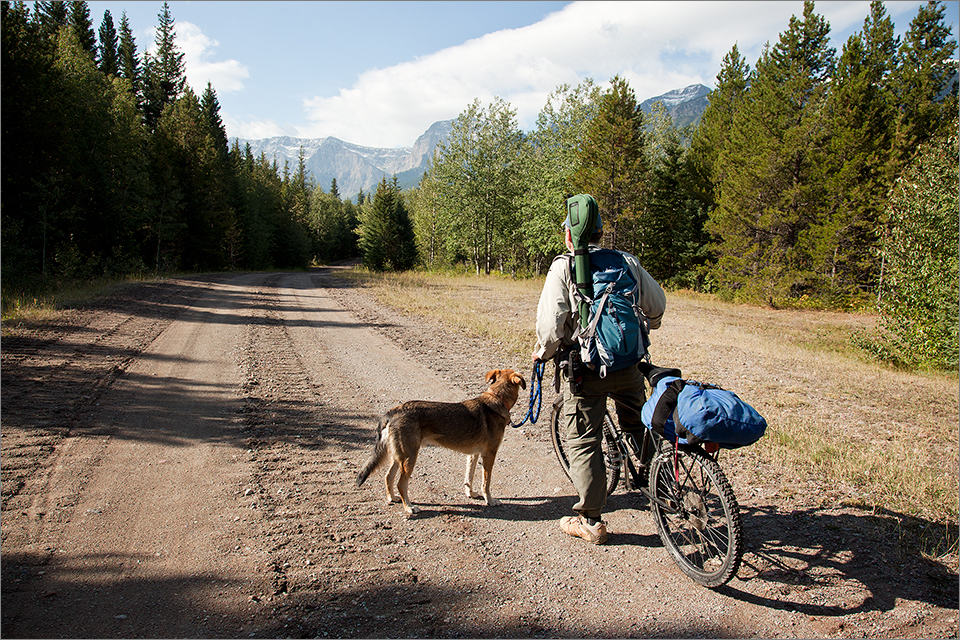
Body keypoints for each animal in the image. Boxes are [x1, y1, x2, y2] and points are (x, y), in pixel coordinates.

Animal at [358, 370, 528, 516]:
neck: (497, 399)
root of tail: (392, 412)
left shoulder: (473, 454)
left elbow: (469, 478)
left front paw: (471, 494)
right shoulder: (489, 455)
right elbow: (486, 483)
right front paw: (490, 501)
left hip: (398, 457)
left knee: (388, 477)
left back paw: (392, 498)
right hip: (409, 458)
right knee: (401, 484)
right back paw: (409, 507)